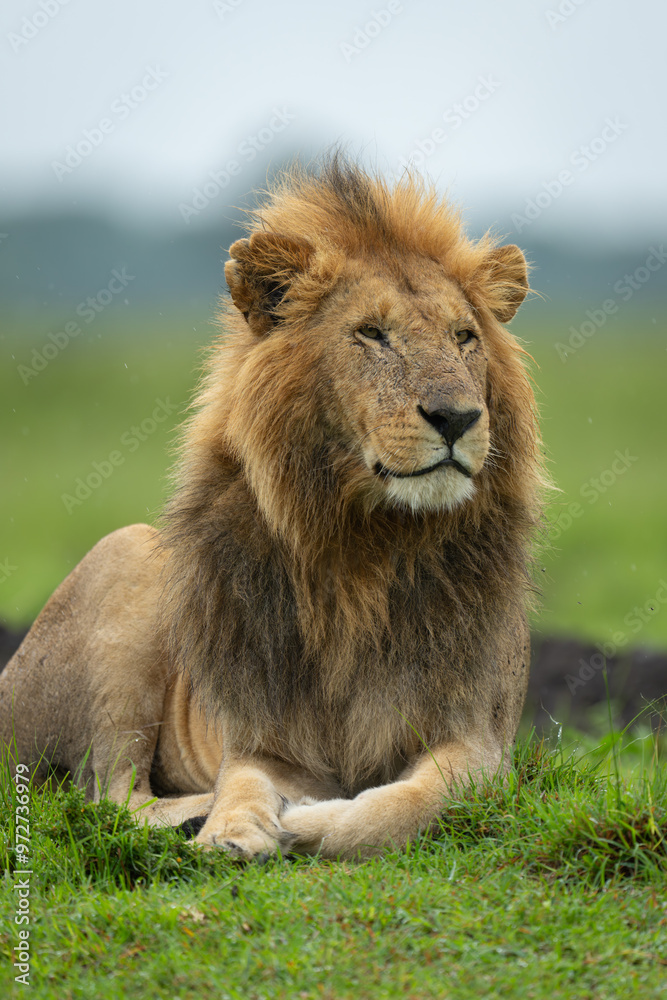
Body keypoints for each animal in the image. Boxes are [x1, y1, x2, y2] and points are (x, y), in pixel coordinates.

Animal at [0, 156, 544, 860]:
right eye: (372, 334)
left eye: (465, 337)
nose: (457, 417)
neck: (368, 541)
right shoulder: (266, 740)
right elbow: (241, 784)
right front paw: (230, 832)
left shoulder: (481, 742)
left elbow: (405, 805)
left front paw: (310, 821)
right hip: (127, 555)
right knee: (109, 791)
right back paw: (194, 814)